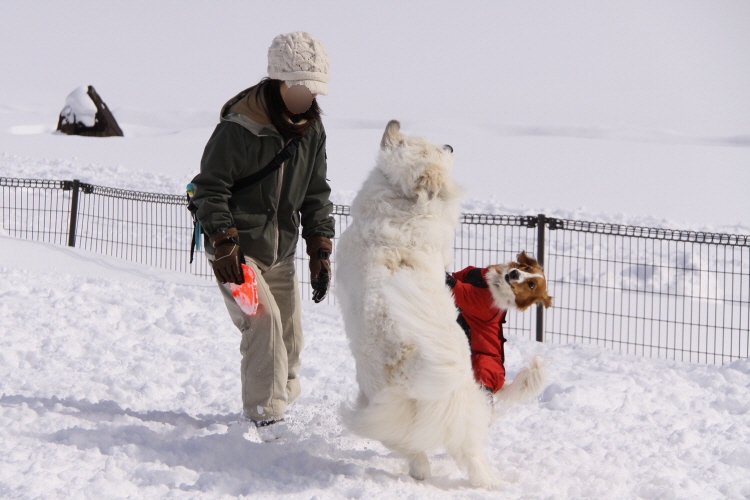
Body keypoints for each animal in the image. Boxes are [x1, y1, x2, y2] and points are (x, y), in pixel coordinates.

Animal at [446, 252, 552, 404]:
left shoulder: (474, 300)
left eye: (531, 285)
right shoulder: (465, 273)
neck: (496, 284)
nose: (514, 273)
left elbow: (460, 290)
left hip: (484, 368)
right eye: (527, 268)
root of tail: (501, 383)